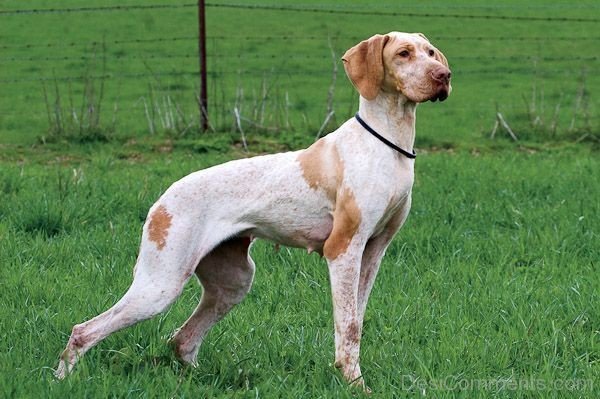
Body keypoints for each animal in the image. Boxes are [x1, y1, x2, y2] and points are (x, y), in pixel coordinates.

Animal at [55, 32, 450, 390]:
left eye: (431, 52)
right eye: (403, 53)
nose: (443, 76)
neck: (388, 144)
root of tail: (161, 201)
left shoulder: (372, 252)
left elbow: (356, 320)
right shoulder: (342, 250)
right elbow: (349, 325)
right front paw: (355, 385)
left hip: (233, 281)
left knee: (182, 340)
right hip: (159, 286)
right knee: (83, 331)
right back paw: (61, 378)